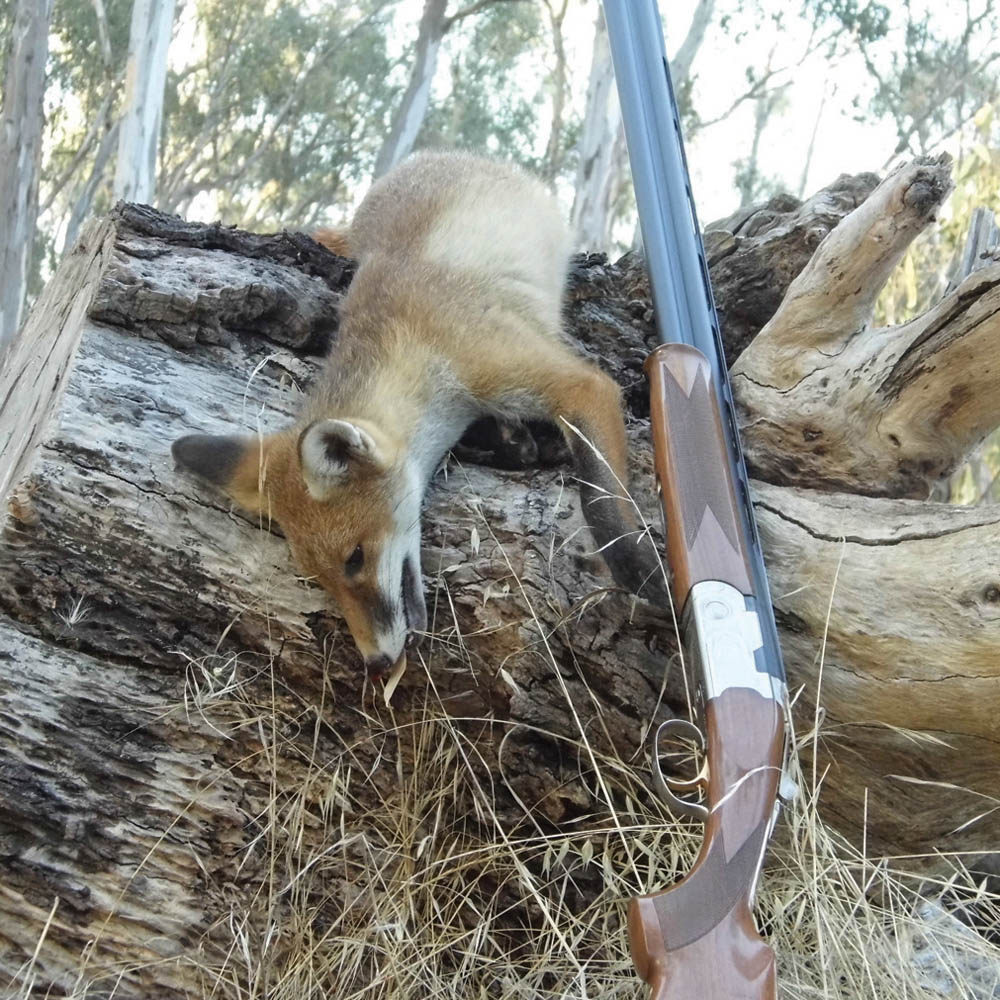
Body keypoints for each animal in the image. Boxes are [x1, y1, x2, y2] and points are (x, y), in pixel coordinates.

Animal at [172, 151, 662, 676]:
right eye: (320, 579)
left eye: (354, 558)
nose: (377, 663)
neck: (414, 342)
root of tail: (428, 160)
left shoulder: (568, 383)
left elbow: (602, 502)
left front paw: (645, 573)